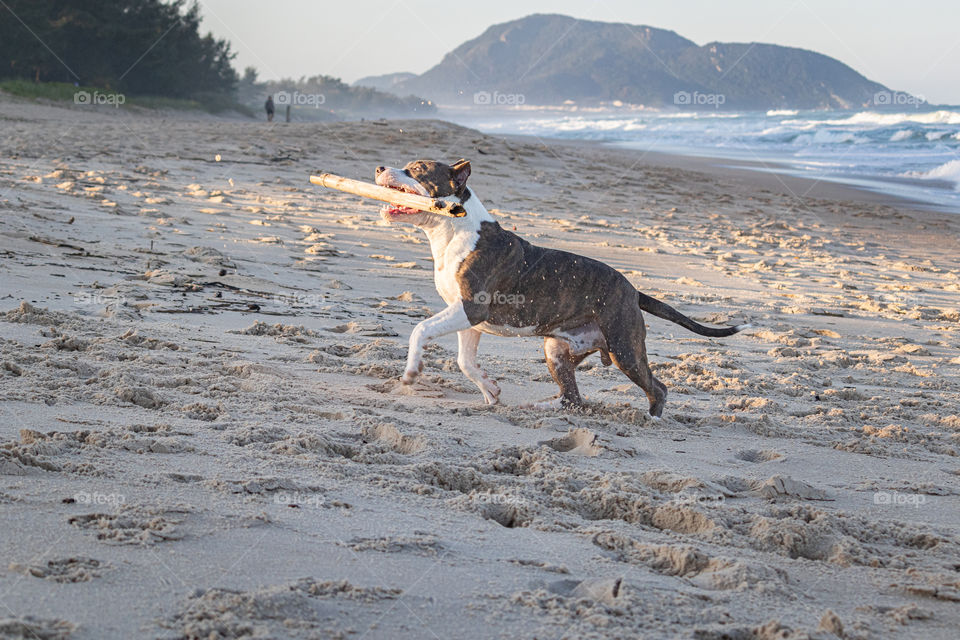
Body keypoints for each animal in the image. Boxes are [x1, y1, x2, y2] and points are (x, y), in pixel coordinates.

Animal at [376, 158, 752, 418]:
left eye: (417, 169)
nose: (379, 167)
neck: (453, 228)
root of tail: (633, 291)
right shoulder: (468, 318)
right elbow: (465, 361)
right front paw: (490, 390)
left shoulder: (471, 307)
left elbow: (421, 329)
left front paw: (411, 372)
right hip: (557, 350)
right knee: (573, 399)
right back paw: (543, 408)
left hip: (625, 349)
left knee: (657, 388)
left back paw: (652, 420)